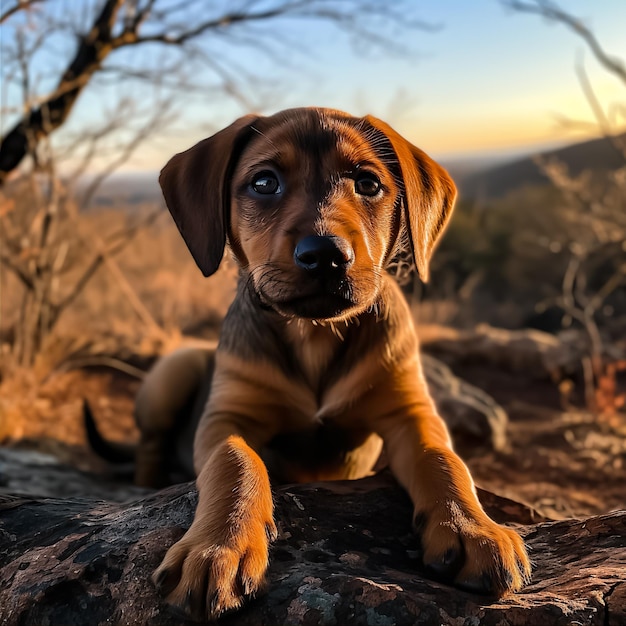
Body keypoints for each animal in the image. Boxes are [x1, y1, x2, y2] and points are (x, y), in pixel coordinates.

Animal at [145, 108, 528, 620]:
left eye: (368, 184)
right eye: (264, 182)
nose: (326, 256)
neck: (315, 334)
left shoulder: (410, 412)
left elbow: (443, 460)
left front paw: (472, 529)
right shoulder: (226, 417)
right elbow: (236, 463)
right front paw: (219, 547)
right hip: (175, 370)